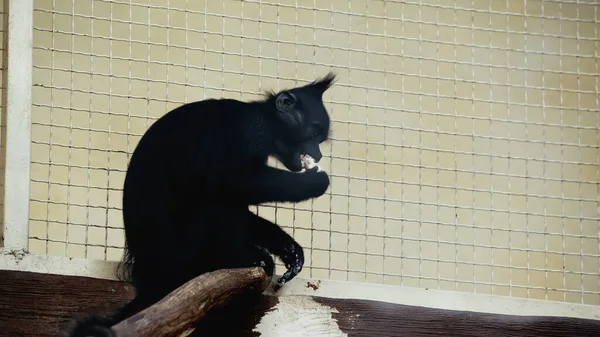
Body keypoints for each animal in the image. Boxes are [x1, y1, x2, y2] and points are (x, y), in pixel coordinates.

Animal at [65, 72, 338, 334]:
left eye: (320, 139)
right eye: (314, 133)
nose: (318, 153)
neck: (266, 119)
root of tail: (151, 276)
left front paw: (288, 248)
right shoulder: (251, 130)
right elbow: (226, 179)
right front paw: (316, 182)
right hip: (184, 254)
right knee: (217, 202)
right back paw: (242, 257)